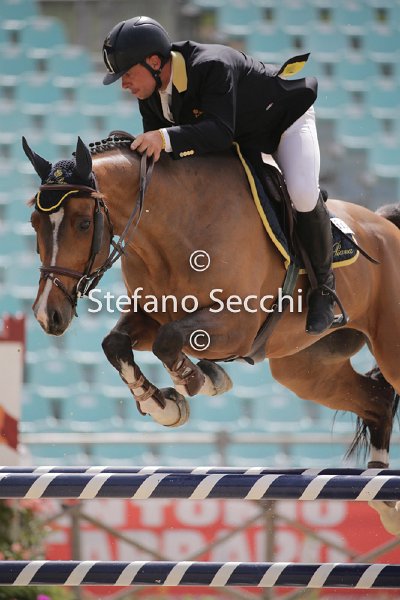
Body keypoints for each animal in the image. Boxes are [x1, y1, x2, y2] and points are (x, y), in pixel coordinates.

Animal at [23, 136, 400, 535]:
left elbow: (169, 341)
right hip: (305, 370)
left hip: (388, 349)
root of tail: (385, 224)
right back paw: (385, 499)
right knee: (376, 400)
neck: (171, 227)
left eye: (82, 223)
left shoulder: (237, 325)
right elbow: (117, 344)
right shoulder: (151, 315)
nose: (48, 315)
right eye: (34, 222)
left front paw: (200, 380)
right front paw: (165, 405)